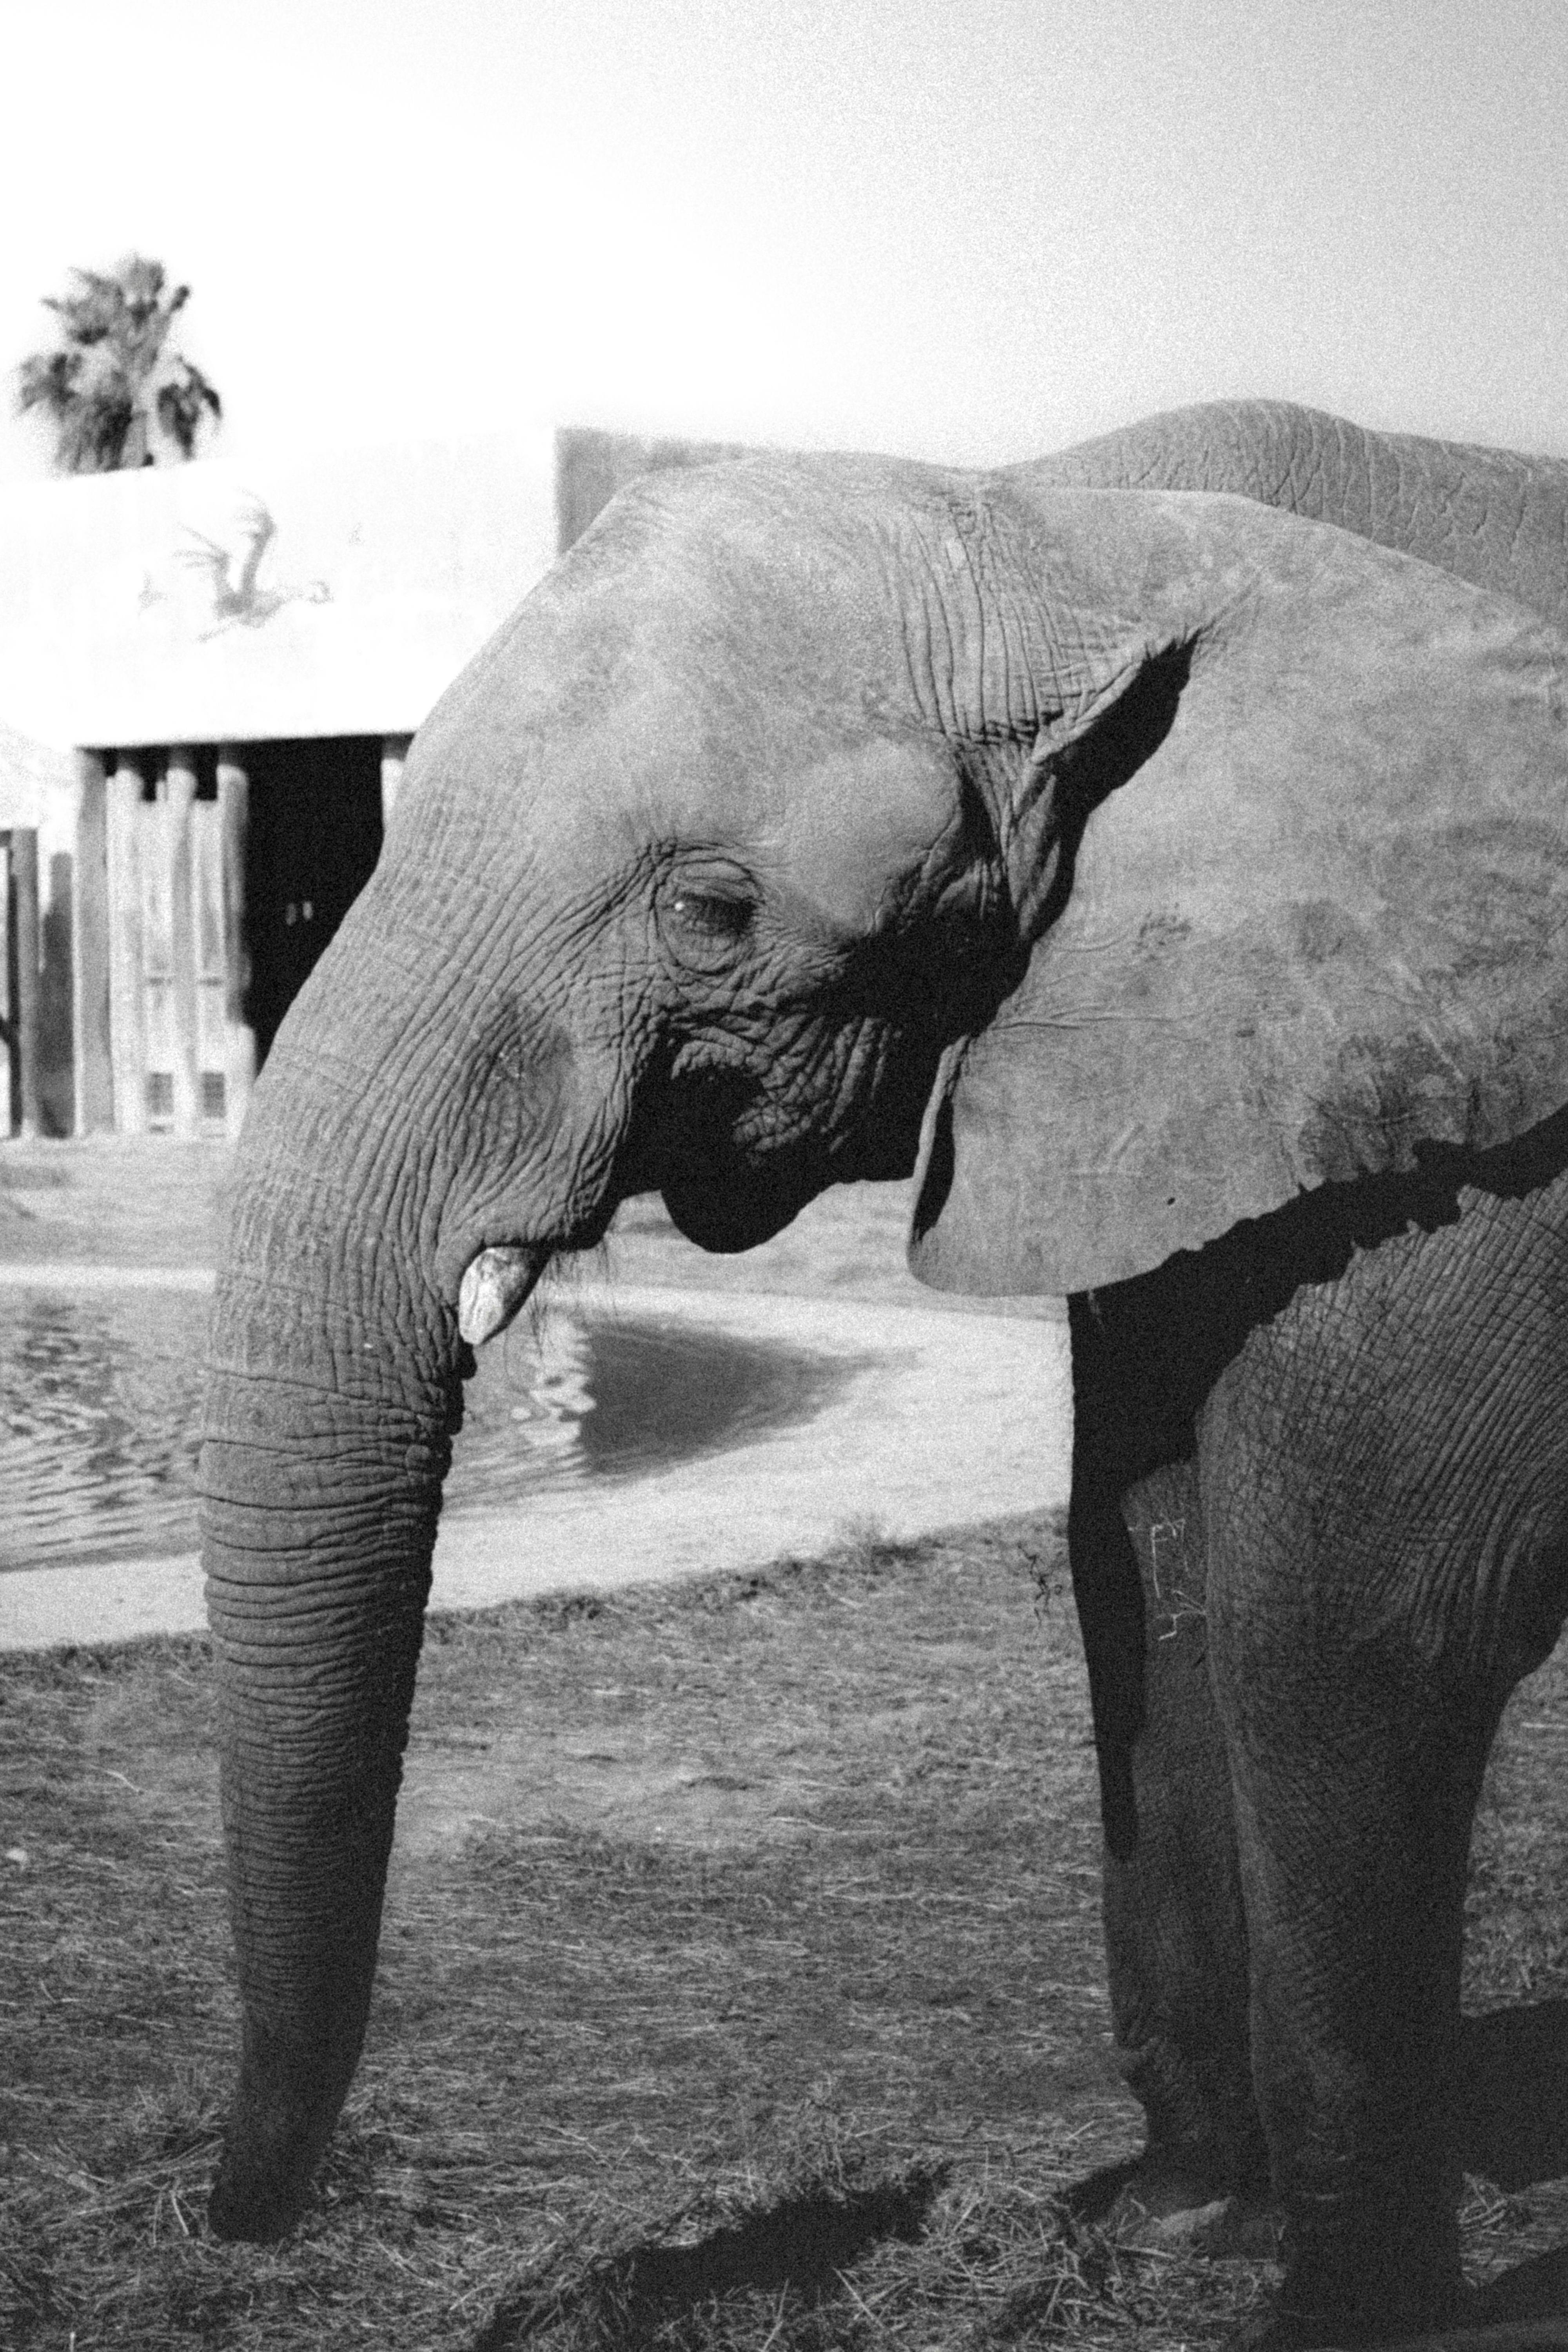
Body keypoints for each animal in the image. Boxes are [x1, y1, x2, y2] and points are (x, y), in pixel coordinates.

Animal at [201, 398, 1568, 2346]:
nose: (231, 2215)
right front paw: (1170, 2225)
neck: (1072, 528)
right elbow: (1151, 1568)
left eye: (711, 907)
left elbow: (1357, 1624)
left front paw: (1336, 2310)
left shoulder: (1489, 1107)